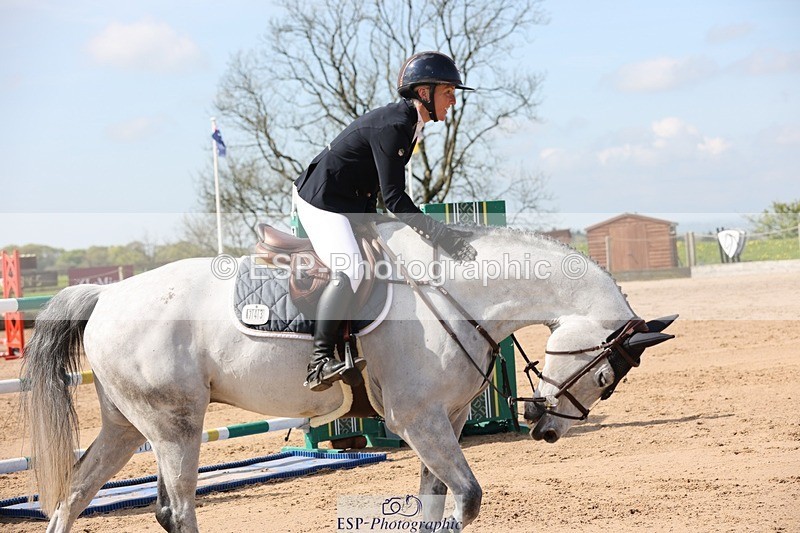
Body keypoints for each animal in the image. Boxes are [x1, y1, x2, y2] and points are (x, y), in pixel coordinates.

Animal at [22, 221, 675, 532]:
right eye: (604, 377)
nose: (545, 427)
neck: (461, 292)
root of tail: (106, 296)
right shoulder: (417, 419)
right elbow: (466, 498)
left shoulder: (444, 421)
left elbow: (433, 505)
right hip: (176, 426)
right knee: (176, 512)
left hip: (129, 427)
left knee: (75, 495)